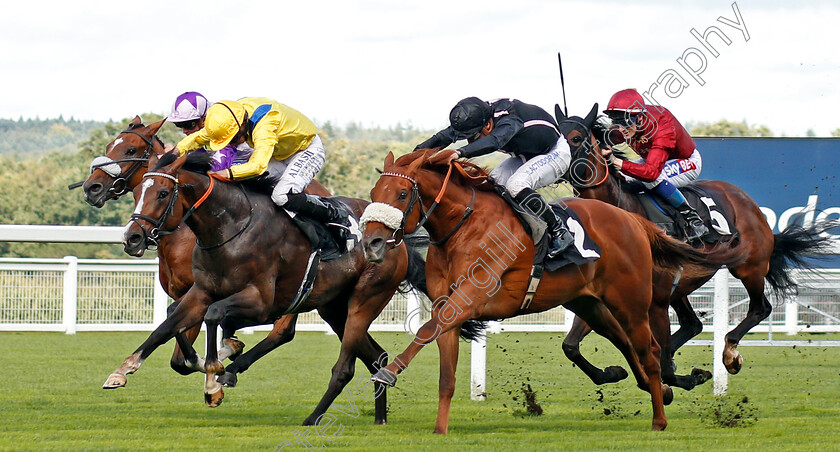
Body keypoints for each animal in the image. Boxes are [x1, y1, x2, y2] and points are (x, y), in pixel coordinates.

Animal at [120, 150, 440, 426]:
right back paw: (379, 417)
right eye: (138, 193)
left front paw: (214, 378)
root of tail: (395, 238)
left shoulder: (261, 301)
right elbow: (168, 323)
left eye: (163, 193)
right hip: (334, 308)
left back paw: (312, 418)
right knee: (376, 357)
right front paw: (123, 370)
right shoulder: (201, 291)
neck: (230, 227)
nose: (132, 237)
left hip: (365, 300)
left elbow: (214, 315)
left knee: (343, 366)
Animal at [364, 148, 740, 430]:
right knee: (625, 344)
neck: (464, 225)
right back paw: (651, 383)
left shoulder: (471, 298)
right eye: (373, 194)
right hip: (591, 304)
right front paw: (440, 429)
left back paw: (659, 418)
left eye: (402, 194)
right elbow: (445, 370)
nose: (372, 242)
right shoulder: (450, 304)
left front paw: (388, 372)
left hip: (631, 302)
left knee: (648, 350)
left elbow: (426, 329)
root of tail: (634, 220)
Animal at [556, 104, 836, 376]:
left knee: (760, 308)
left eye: (576, 138)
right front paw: (614, 372)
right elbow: (570, 346)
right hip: (683, 286)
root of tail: (748, 202)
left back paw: (730, 354)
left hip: (748, 266)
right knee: (693, 325)